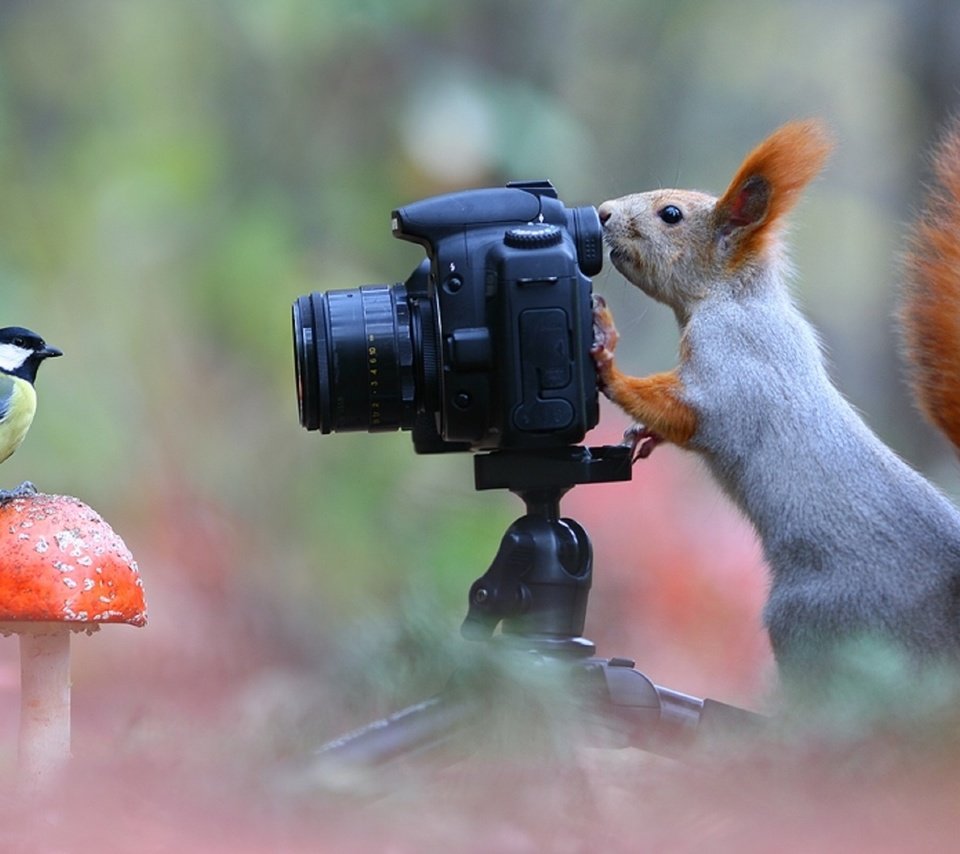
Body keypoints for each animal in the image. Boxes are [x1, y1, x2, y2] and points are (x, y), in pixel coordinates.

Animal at [592, 118, 960, 696]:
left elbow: (692, 412)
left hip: (813, 617)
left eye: (670, 215)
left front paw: (608, 361)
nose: (603, 212)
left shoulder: (733, 368)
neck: (734, 298)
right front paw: (642, 437)